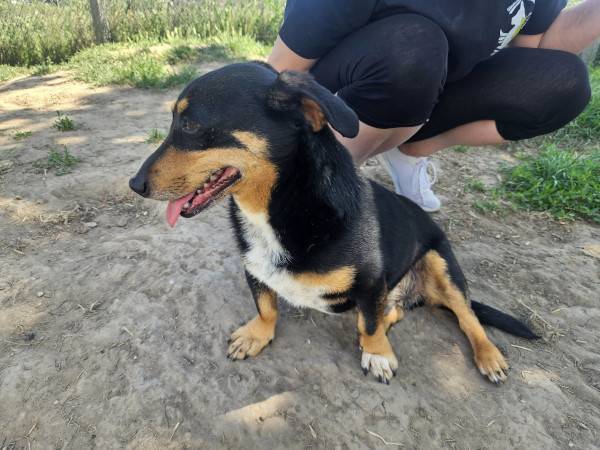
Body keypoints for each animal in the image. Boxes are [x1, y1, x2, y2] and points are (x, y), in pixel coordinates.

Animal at [129, 62, 538, 384]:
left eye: (190, 124)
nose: (134, 184)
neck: (280, 206)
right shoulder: (256, 270)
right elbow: (266, 306)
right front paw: (257, 335)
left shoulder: (373, 281)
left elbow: (369, 322)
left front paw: (378, 354)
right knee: (396, 310)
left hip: (442, 263)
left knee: (467, 316)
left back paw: (489, 357)